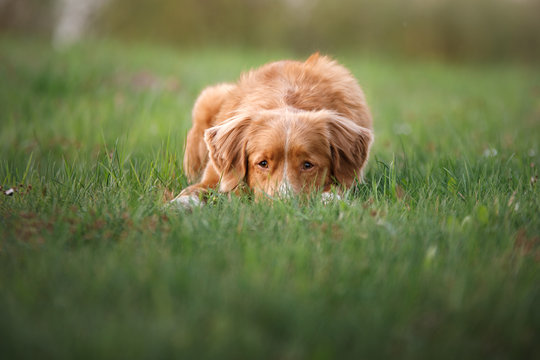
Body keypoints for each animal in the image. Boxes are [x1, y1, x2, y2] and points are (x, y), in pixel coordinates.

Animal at [171, 52, 374, 207]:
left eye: (308, 165)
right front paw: (177, 206)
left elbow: (337, 189)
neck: (284, 100)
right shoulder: (215, 176)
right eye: (263, 163)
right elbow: (194, 190)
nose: (283, 206)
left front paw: (329, 200)